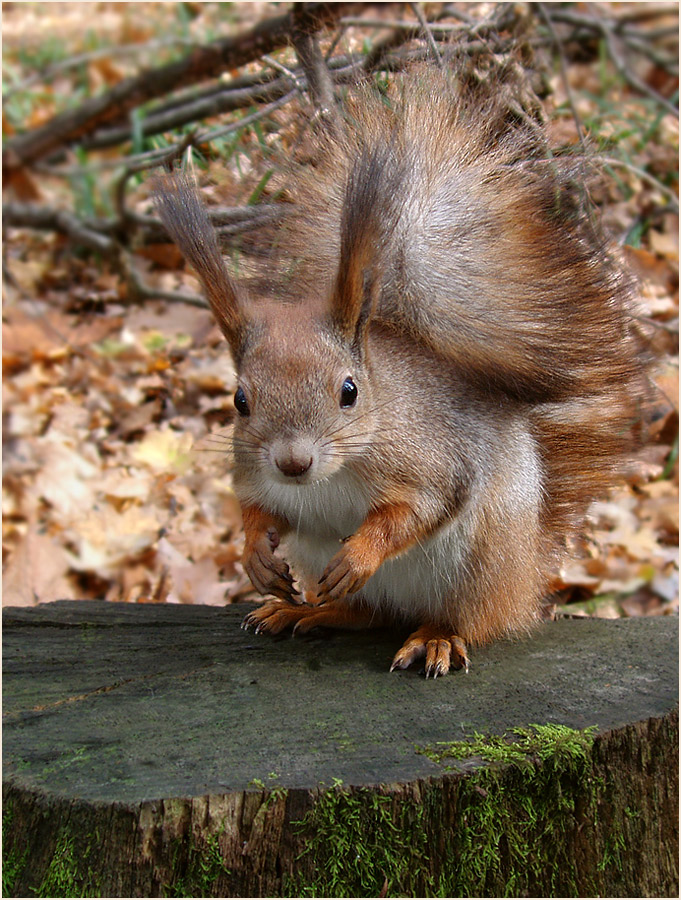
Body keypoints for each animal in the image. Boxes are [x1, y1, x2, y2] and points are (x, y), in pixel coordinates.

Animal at [154, 65, 648, 676]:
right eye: (240, 401)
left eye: (349, 391)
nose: (292, 463)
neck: (333, 475)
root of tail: (526, 578)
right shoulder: (253, 471)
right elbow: (254, 507)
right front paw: (255, 556)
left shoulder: (432, 459)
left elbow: (418, 509)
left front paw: (362, 550)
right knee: (369, 615)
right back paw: (309, 612)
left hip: (480, 564)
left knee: (470, 620)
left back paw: (436, 637)